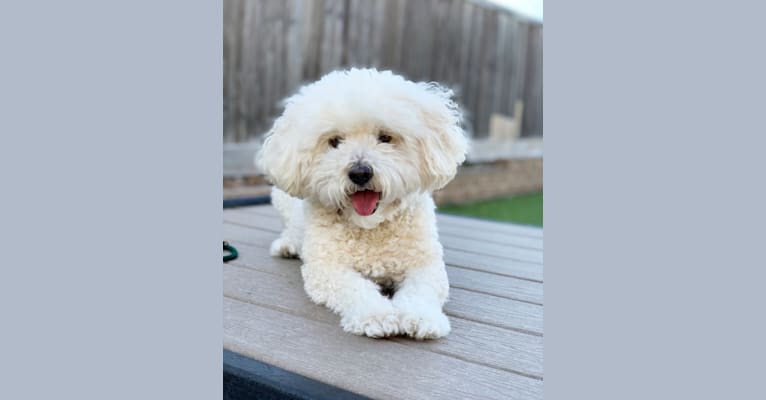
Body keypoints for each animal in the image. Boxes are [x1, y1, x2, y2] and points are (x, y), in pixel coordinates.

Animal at [256, 67, 468, 340]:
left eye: (385, 137)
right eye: (334, 141)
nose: (359, 173)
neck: (370, 227)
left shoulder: (426, 265)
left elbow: (422, 292)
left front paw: (422, 317)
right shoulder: (327, 269)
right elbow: (355, 288)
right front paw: (375, 315)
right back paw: (287, 245)